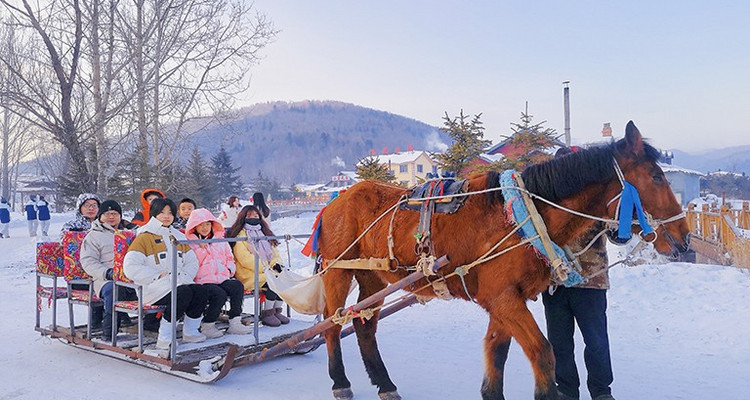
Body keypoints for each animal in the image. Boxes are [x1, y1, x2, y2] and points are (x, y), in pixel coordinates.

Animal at [318, 122, 692, 400]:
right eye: (657, 177)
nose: (685, 238)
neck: (524, 217)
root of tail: (334, 201)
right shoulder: (503, 299)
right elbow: (543, 353)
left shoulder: (505, 300)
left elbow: (496, 353)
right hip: (338, 271)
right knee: (333, 323)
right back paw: (340, 382)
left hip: (373, 277)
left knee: (364, 326)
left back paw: (385, 384)